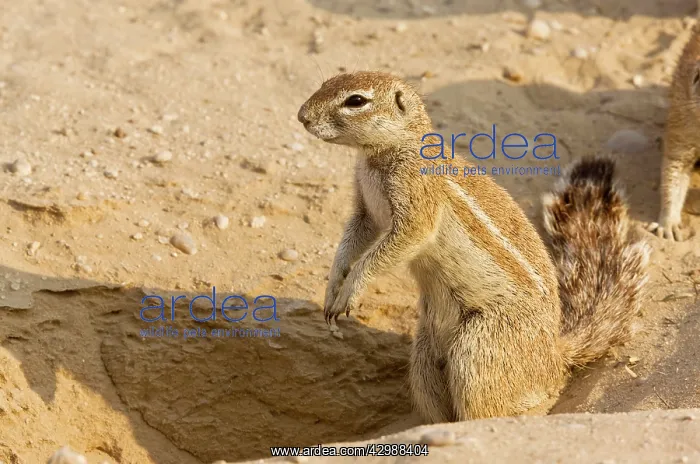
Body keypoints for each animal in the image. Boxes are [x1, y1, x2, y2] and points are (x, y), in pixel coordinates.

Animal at [297, 71, 651, 422]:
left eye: (356, 101)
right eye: (327, 81)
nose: (302, 117)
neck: (384, 153)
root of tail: (555, 355)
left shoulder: (416, 201)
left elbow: (394, 246)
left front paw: (351, 290)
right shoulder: (366, 212)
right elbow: (352, 241)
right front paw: (333, 288)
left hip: (477, 351)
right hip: (424, 359)